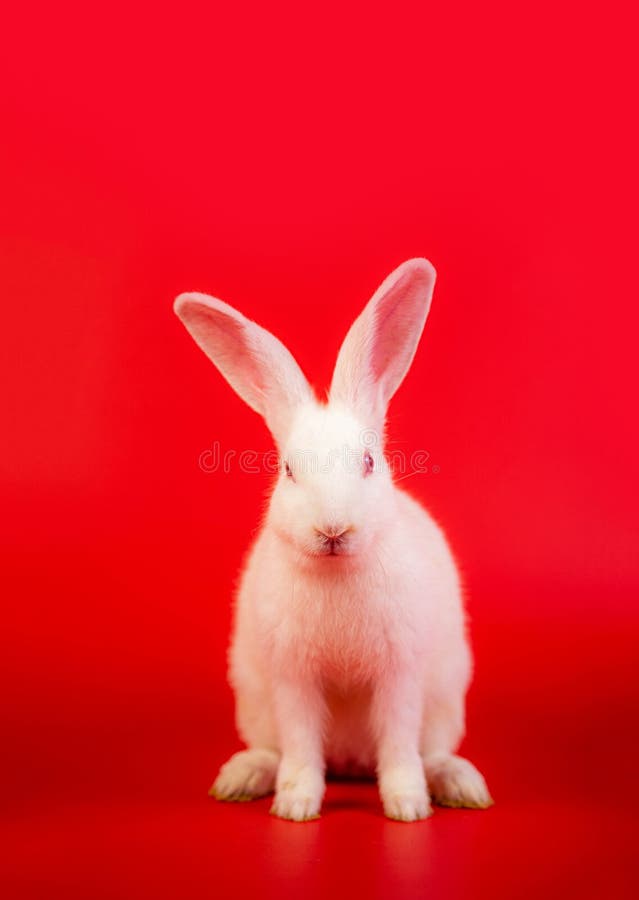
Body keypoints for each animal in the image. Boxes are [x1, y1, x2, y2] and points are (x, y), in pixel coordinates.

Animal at [174, 258, 493, 821]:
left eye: (368, 462)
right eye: (288, 470)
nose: (333, 529)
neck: (337, 571)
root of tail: (349, 760)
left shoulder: (399, 675)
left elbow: (398, 743)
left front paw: (407, 807)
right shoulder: (292, 679)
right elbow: (301, 745)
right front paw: (297, 806)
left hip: (444, 704)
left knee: (429, 751)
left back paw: (460, 784)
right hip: (256, 701)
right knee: (273, 749)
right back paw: (241, 778)